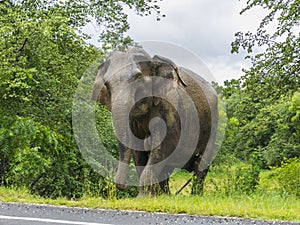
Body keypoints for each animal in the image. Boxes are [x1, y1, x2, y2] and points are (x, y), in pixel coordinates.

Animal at [91, 47, 218, 197]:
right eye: (106, 85)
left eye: (138, 78)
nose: (124, 185)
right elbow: (137, 149)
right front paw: (145, 196)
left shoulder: (170, 107)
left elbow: (165, 144)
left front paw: (144, 197)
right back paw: (166, 195)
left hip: (213, 125)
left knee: (201, 165)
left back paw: (195, 195)